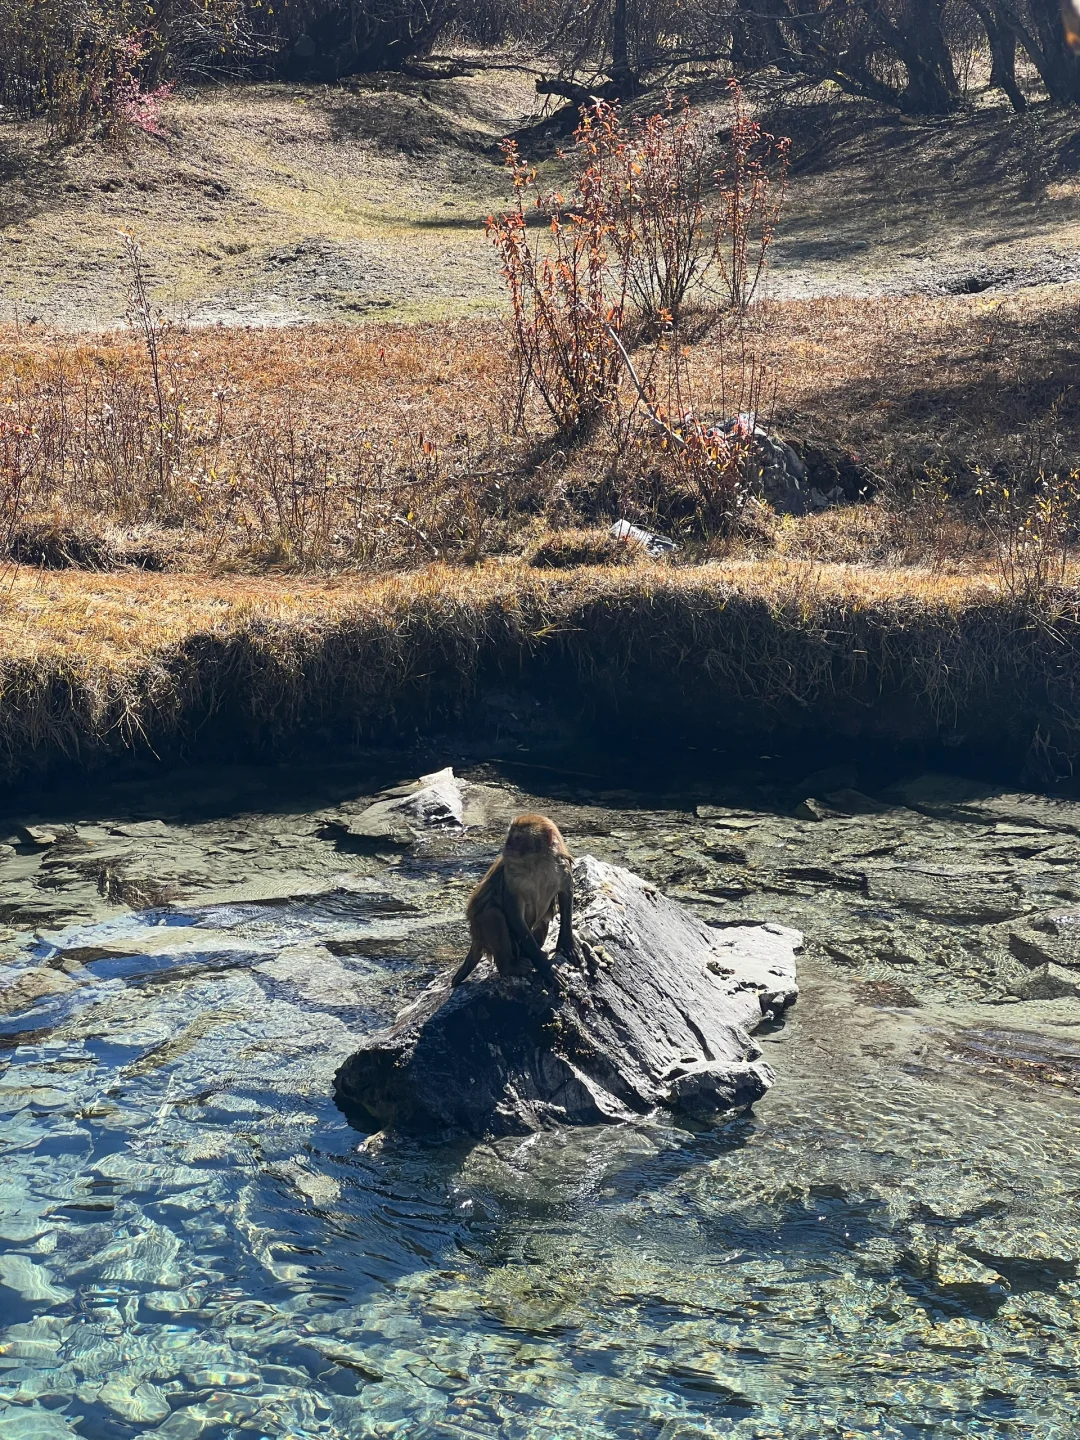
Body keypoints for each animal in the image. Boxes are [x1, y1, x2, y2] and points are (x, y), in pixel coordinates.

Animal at [452, 812, 578, 990]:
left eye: (517, 838)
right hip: (481, 930)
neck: (538, 863)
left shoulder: (562, 866)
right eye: (509, 836)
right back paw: (509, 967)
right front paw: (545, 967)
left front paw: (566, 945)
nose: (507, 847)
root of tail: (475, 937)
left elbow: (566, 895)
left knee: (542, 922)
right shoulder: (512, 876)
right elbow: (515, 915)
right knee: (492, 914)